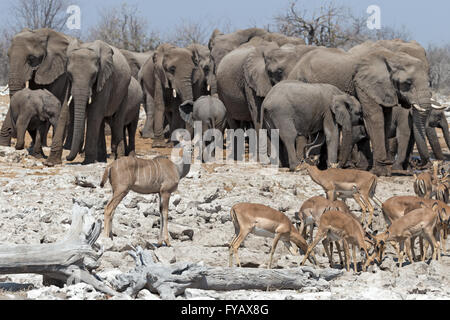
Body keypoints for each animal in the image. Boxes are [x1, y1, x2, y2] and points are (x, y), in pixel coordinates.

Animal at [288, 45, 436, 176]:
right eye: (408, 83)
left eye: (430, 82)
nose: (419, 164)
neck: (392, 57)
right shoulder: (363, 85)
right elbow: (375, 118)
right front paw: (380, 172)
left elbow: (386, 120)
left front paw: (384, 171)